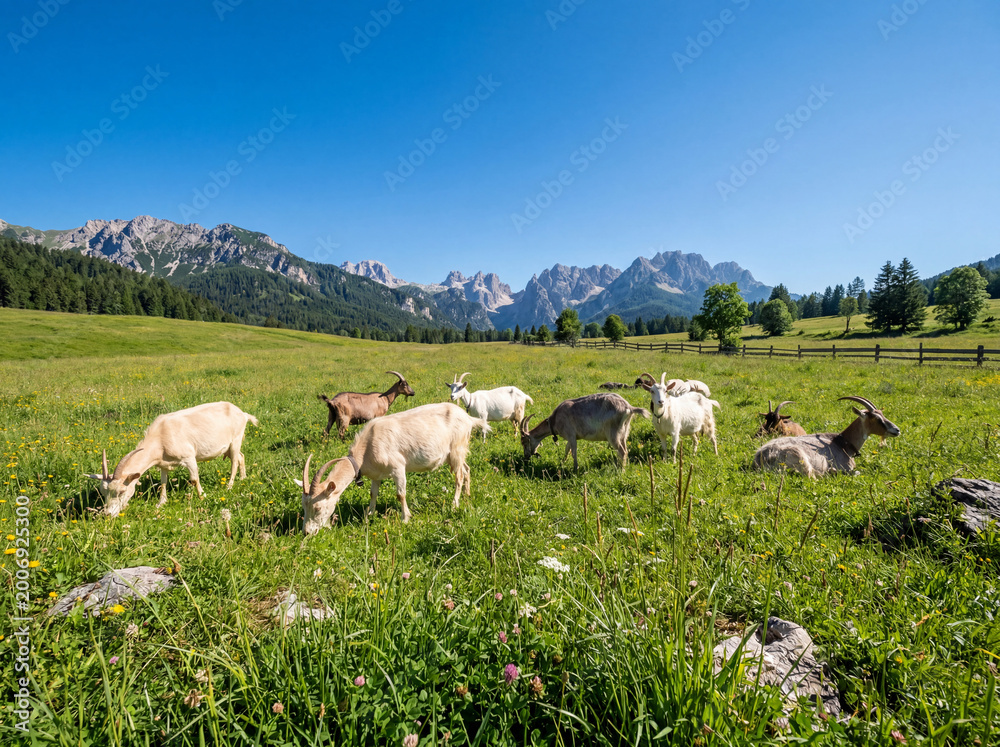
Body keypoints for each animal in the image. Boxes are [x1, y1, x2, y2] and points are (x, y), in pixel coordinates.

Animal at [84, 401, 258, 517]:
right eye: (103, 492)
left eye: (121, 491)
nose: (107, 514)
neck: (160, 436)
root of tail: (243, 413)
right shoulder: (163, 463)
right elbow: (163, 482)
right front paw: (161, 503)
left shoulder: (189, 457)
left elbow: (194, 479)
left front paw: (202, 497)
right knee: (241, 457)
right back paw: (243, 478)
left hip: (236, 439)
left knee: (234, 462)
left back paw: (229, 486)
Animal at [298, 402, 490, 532]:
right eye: (303, 506)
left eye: (317, 507)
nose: (307, 532)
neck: (367, 447)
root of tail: (468, 418)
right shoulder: (376, 475)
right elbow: (373, 493)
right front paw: (369, 515)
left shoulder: (398, 467)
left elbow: (400, 494)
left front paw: (406, 519)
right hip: (456, 453)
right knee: (466, 469)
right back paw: (467, 494)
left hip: (457, 448)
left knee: (459, 476)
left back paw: (454, 504)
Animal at [520, 393, 649, 469]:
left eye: (524, 442)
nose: (526, 456)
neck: (555, 420)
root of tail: (629, 408)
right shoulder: (571, 437)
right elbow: (567, 449)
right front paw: (562, 463)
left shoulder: (571, 434)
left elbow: (573, 452)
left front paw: (575, 469)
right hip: (624, 433)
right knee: (625, 450)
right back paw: (622, 467)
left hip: (613, 433)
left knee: (622, 451)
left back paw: (620, 471)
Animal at [751, 395, 900, 478]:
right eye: (877, 419)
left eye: (882, 414)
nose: (897, 430)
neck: (842, 442)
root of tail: (761, 459)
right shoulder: (846, 467)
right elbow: (857, 472)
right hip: (800, 459)